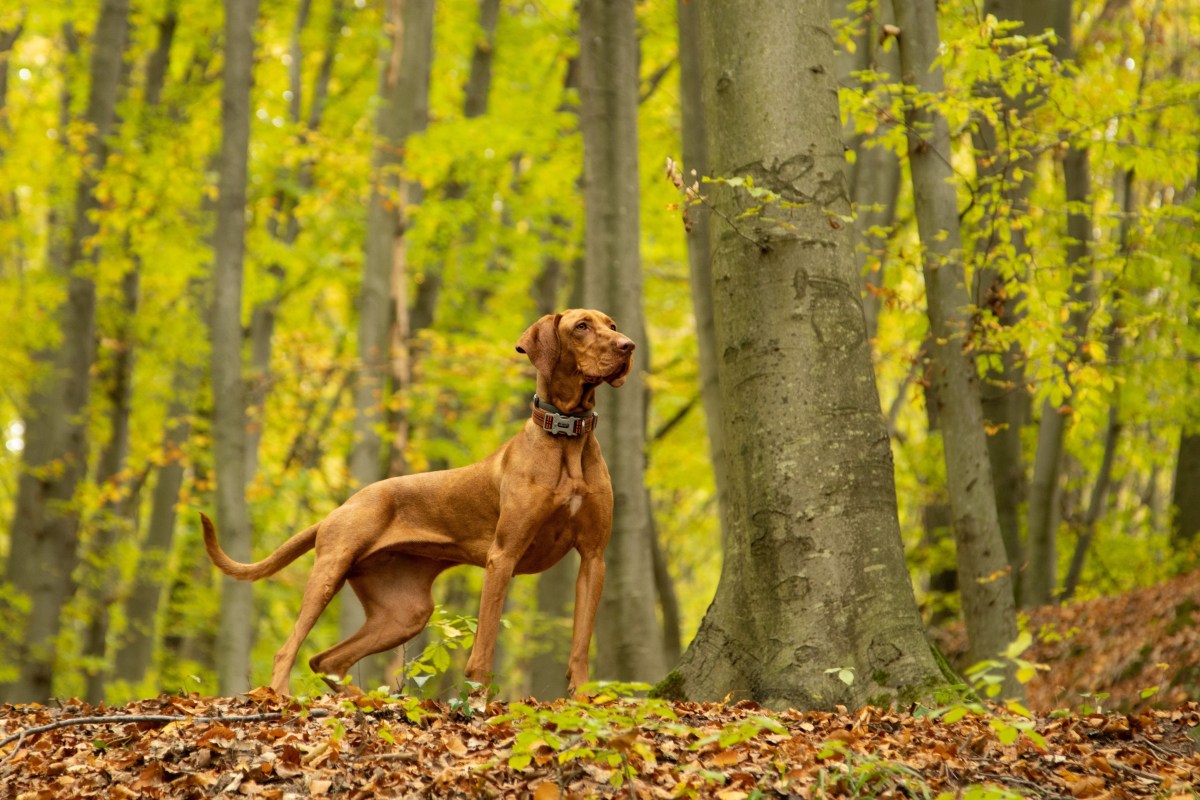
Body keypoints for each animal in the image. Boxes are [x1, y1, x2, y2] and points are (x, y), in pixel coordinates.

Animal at [201, 309, 633, 695]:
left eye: (612, 325)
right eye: (581, 326)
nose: (628, 345)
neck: (567, 437)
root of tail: (341, 507)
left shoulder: (593, 558)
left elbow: (580, 646)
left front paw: (584, 699)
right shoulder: (503, 556)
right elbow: (484, 648)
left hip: (405, 613)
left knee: (327, 660)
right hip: (331, 570)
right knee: (289, 650)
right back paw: (280, 695)